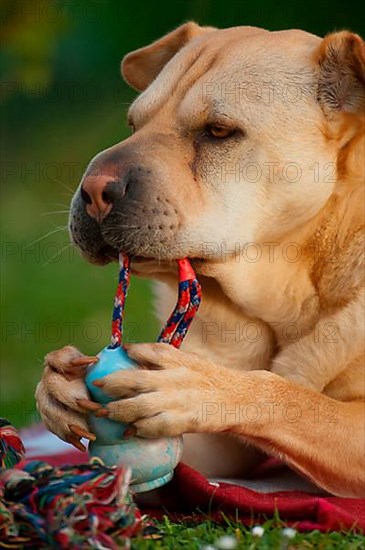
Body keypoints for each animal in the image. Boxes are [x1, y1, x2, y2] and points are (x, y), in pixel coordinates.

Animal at [34, 23, 364, 500]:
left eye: (219, 131)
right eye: (133, 124)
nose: (93, 190)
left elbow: (294, 399)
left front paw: (200, 386)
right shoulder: (212, 457)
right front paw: (57, 383)